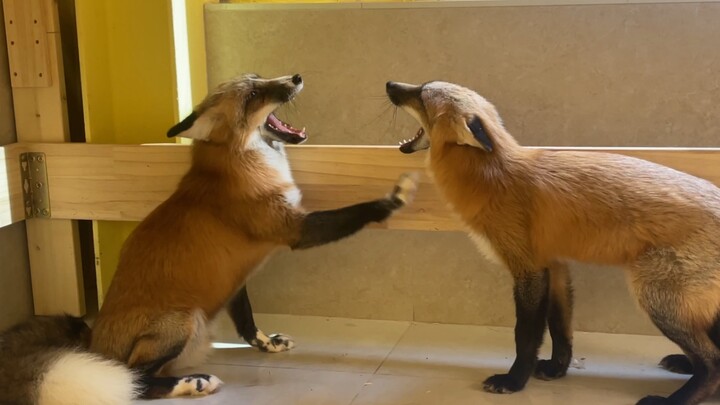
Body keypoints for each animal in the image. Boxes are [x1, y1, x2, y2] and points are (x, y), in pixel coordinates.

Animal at [88, 73, 417, 400]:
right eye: (254, 95)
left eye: (259, 78)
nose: (296, 77)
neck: (242, 162)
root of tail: (97, 349)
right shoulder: (295, 229)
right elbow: (358, 211)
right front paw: (393, 199)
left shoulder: (235, 278)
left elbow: (246, 320)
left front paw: (268, 343)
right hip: (184, 321)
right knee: (137, 381)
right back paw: (194, 382)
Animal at [386, 79, 720, 405]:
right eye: (420, 87)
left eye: (422, 95)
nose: (389, 84)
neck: (493, 175)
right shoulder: (555, 266)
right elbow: (561, 329)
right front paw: (556, 370)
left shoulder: (528, 270)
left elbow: (525, 336)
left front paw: (514, 381)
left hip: (657, 300)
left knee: (712, 363)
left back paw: (677, 398)